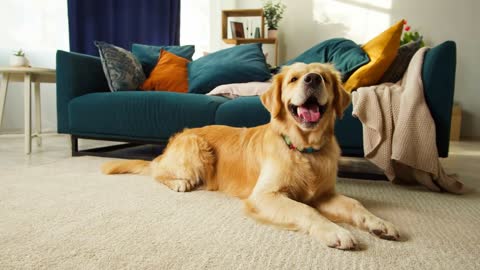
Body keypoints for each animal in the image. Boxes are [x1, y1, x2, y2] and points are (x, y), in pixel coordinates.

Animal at [102, 62, 402, 249]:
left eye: (324, 78)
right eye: (294, 79)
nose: (313, 79)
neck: (303, 149)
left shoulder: (325, 194)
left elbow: (354, 204)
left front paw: (379, 223)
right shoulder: (265, 195)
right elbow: (306, 209)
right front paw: (335, 231)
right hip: (197, 149)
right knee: (157, 171)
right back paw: (179, 182)